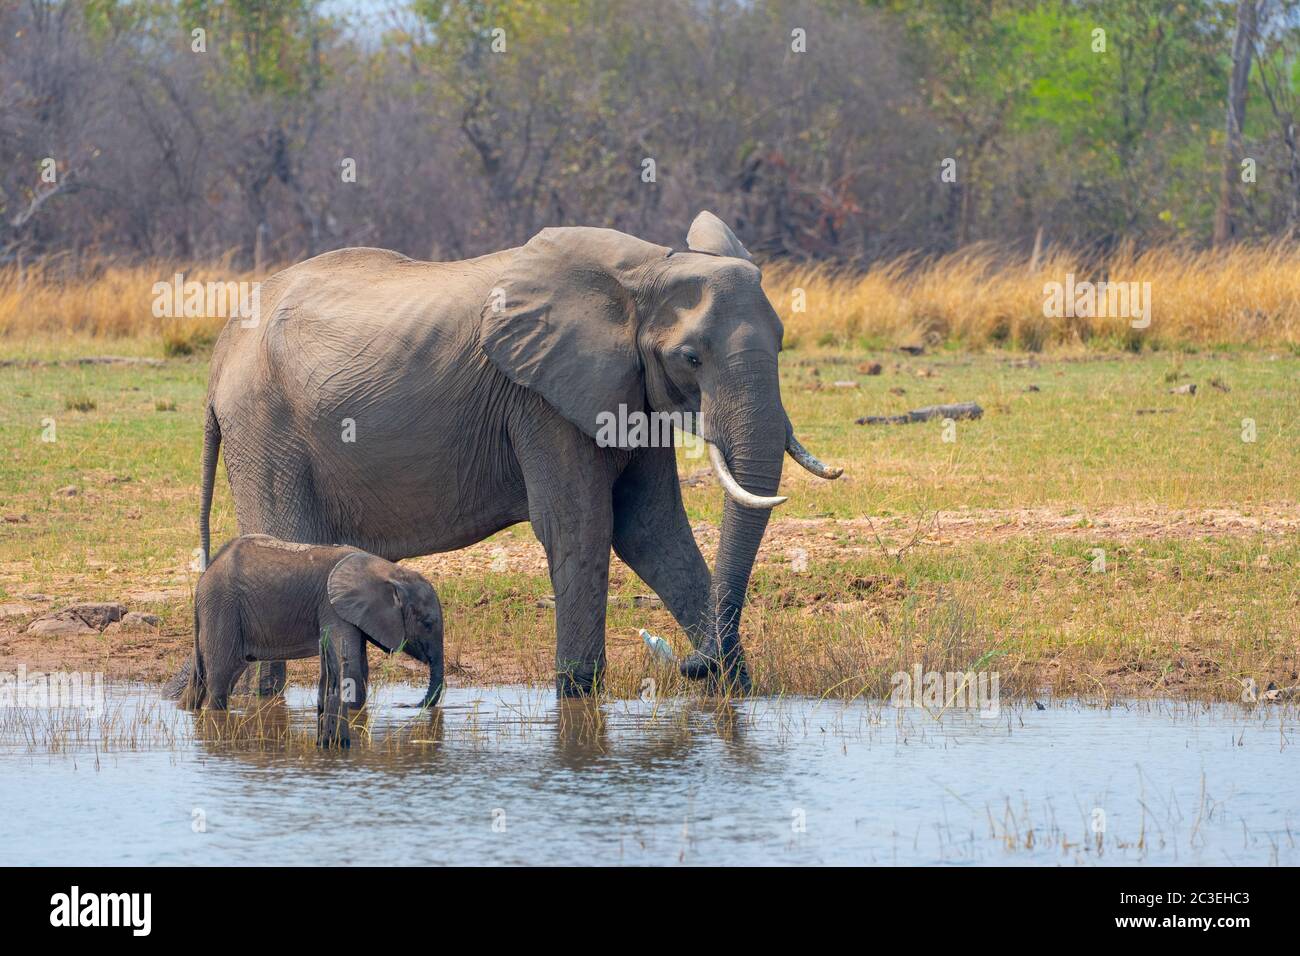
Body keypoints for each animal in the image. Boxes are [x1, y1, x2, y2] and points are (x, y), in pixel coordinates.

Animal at [176, 535, 447, 743]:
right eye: (427, 623)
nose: (406, 706)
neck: (389, 572)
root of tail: (203, 579)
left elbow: (359, 666)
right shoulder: (331, 607)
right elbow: (351, 667)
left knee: (206, 680)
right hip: (223, 608)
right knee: (220, 679)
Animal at [188, 213, 837, 697]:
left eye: (783, 341)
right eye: (692, 358)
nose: (688, 661)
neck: (648, 268)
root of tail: (220, 352)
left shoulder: (626, 386)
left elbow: (650, 529)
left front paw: (736, 690)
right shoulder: (538, 397)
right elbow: (582, 525)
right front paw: (578, 694)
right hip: (265, 426)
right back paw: (263, 699)